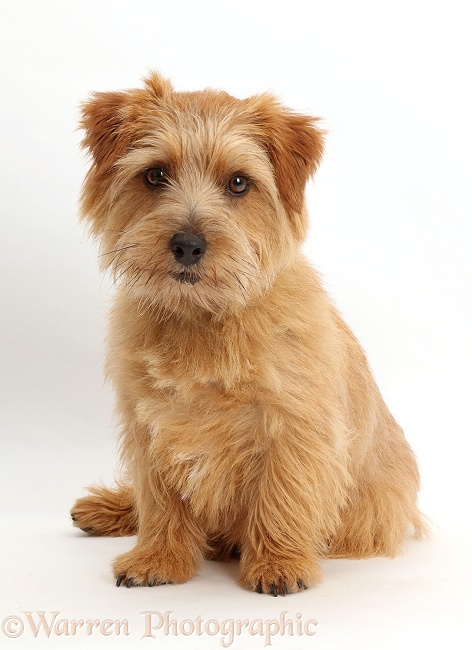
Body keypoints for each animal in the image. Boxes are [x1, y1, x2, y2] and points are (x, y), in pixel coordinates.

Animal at [71, 71, 428, 592]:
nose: (188, 245)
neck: (204, 317)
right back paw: (110, 508)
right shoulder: (148, 423)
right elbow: (159, 499)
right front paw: (158, 557)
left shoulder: (294, 423)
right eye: (155, 174)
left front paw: (278, 564)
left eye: (238, 182)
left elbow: (283, 492)